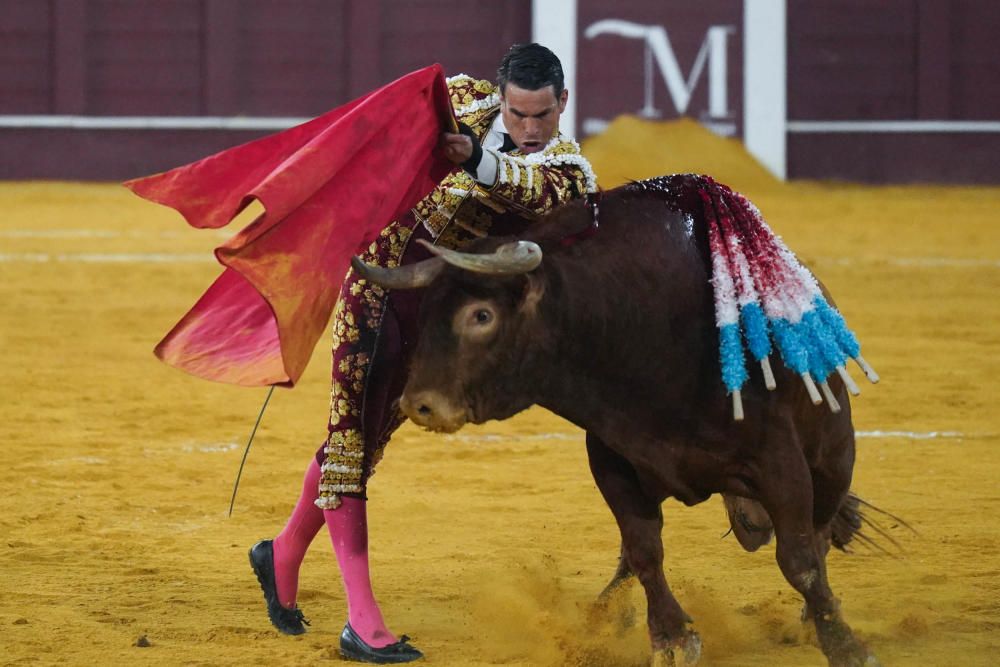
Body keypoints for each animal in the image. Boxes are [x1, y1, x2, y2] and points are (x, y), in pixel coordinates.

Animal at [354, 175, 884, 664]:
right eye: (426, 313)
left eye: (481, 315)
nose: (418, 403)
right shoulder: (613, 461)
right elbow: (644, 550)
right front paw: (671, 638)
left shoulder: (779, 463)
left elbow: (800, 559)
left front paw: (845, 646)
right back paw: (603, 615)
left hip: (833, 457)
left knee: (819, 531)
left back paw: (810, 621)